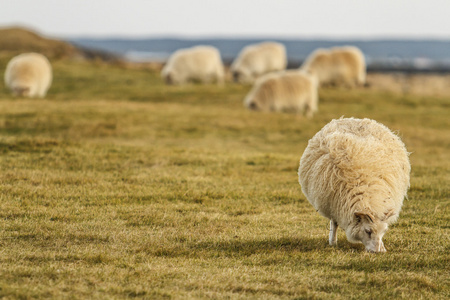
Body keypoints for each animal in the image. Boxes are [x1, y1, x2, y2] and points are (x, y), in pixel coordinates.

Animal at [298, 118, 412, 253]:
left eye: (384, 231)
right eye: (368, 231)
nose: (377, 252)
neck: (367, 191)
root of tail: (351, 119)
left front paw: (382, 246)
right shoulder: (334, 205)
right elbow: (334, 223)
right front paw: (333, 242)